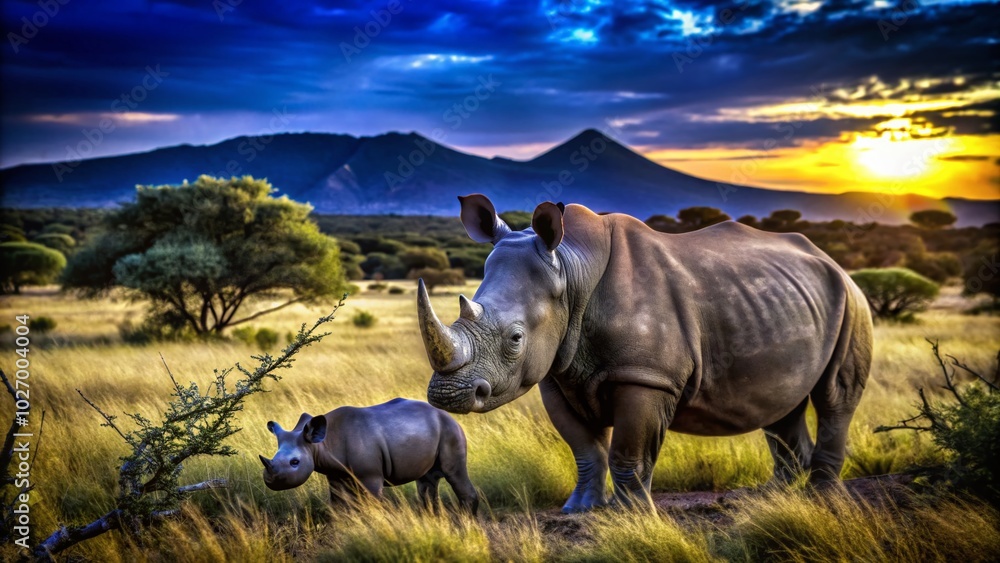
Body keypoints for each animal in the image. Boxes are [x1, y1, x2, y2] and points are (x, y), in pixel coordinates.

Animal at [259, 398, 478, 513]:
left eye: (295, 462)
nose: (270, 481)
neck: (320, 444)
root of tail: (448, 415)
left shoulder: (370, 476)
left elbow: (373, 503)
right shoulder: (336, 474)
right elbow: (338, 504)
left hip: (450, 430)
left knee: (454, 473)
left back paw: (467, 522)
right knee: (427, 481)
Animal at [417, 194, 873, 513]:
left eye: (515, 338)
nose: (446, 395)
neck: (571, 269)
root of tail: (832, 261)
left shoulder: (647, 377)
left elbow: (628, 452)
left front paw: (631, 515)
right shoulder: (556, 375)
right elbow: (585, 448)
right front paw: (578, 510)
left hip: (852, 300)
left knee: (834, 396)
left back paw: (821, 497)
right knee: (782, 406)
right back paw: (770, 496)